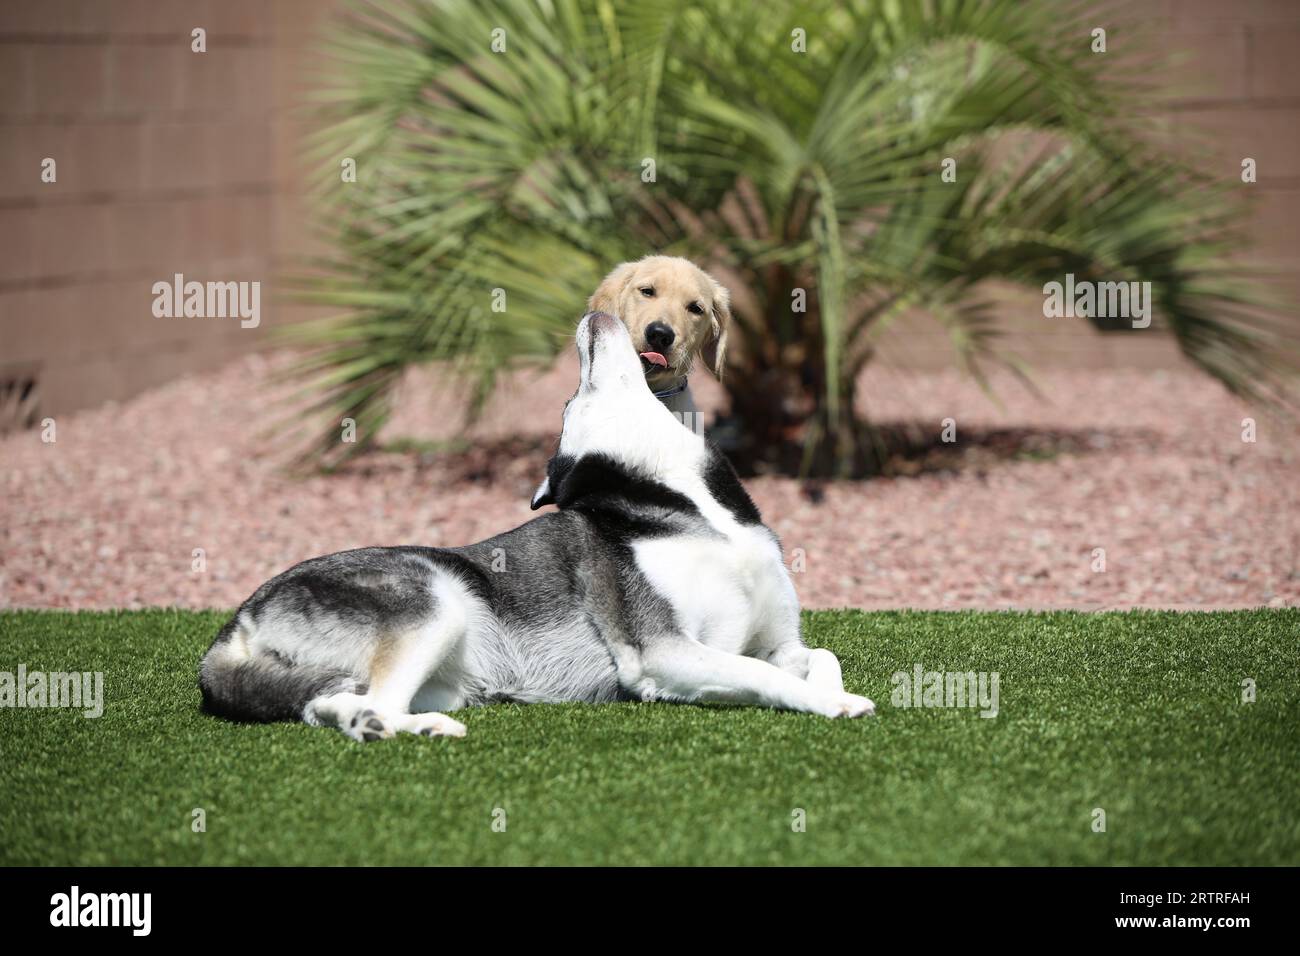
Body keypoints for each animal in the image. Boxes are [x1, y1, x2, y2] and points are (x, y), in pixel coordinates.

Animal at [200, 312, 873, 738]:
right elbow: (763, 674)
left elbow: (819, 655)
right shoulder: (660, 652)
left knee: (328, 705)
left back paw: (380, 724)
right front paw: (831, 704)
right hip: (434, 600)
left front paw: (833, 688)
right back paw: (402, 727)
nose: (592, 316)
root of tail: (235, 624)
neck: (683, 502)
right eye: (570, 399)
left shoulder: (782, 639)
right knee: (371, 700)